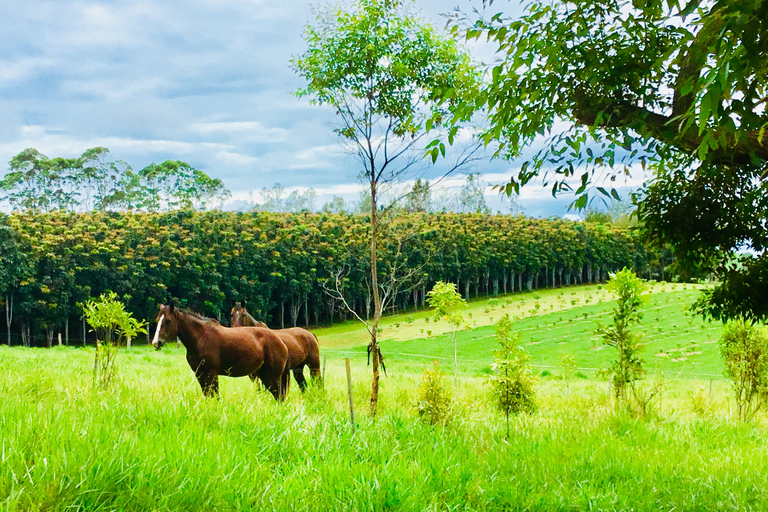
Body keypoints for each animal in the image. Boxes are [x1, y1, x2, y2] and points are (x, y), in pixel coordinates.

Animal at [154, 304, 292, 400]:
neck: (201, 337)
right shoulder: (200, 374)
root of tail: (281, 341)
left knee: (279, 396)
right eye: (157, 320)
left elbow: (215, 396)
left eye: (168, 321)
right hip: (264, 375)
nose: (156, 342)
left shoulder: (212, 374)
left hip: (274, 375)